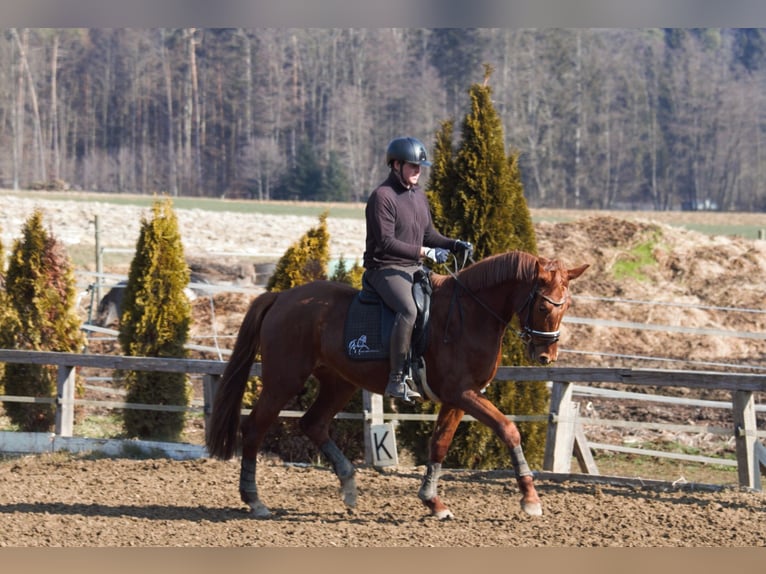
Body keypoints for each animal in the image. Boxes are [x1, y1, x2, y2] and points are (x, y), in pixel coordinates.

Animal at [204, 252, 588, 520]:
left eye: (567, 304)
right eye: (543, 306)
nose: (546, 355)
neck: (470, 314)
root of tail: (281, 297)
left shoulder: (458, 398)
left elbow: (439, 445)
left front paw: (433, 502)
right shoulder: (462, 394)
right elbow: (508, 429)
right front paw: (530, 500)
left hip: (338, 383)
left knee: (313, 423)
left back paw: (349, 486)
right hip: (284, 380)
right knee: (255, 428)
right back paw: (255, 500)